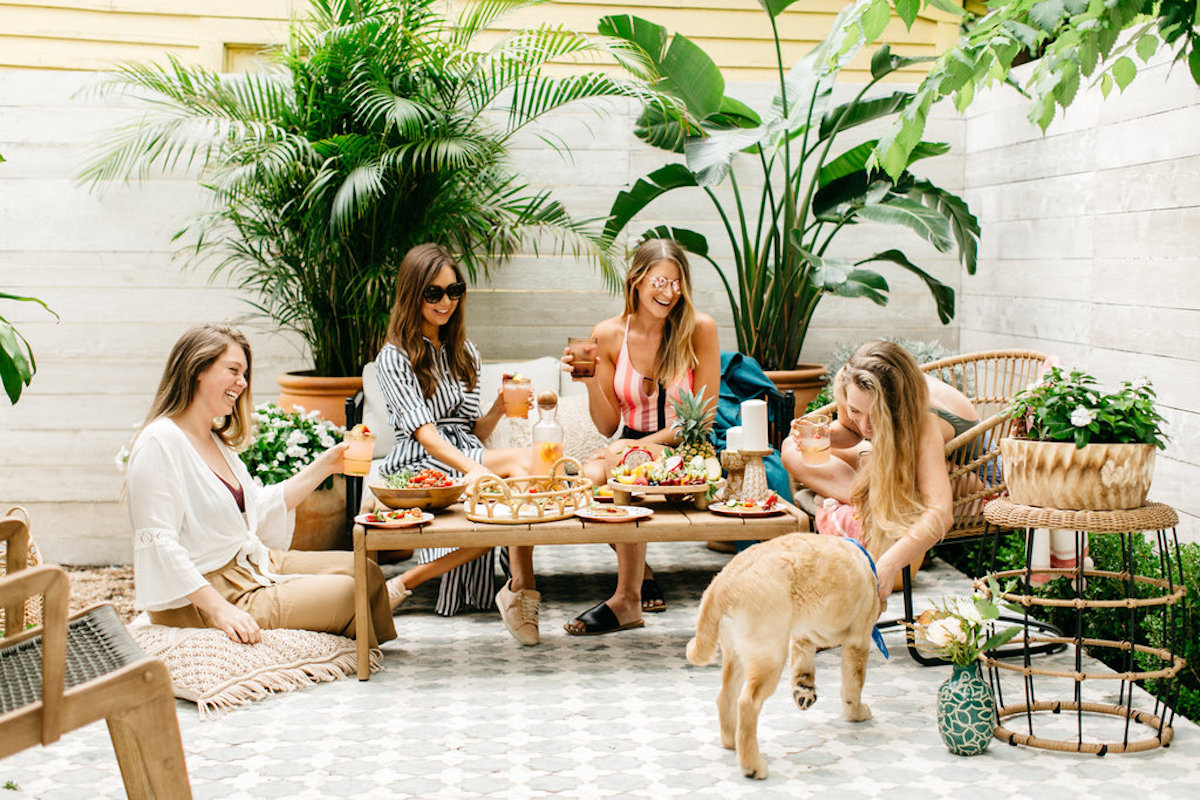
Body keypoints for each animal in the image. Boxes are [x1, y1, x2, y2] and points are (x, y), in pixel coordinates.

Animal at [686, 534, 883, 777]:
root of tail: (719, 587)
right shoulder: (858, 640)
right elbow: (853, 684)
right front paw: (856, 712)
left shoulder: (802, 636)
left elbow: (803, 666)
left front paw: (804, 690)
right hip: (769, 657)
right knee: (747, 704)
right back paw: (753, 766)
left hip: (738, 655)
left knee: (725, 698)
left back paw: (733, 743)